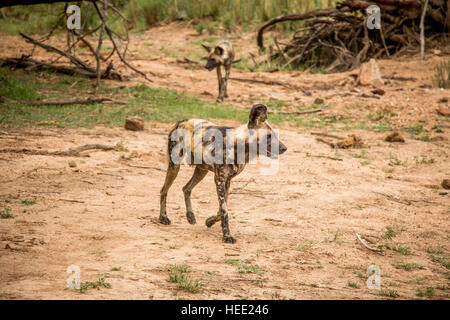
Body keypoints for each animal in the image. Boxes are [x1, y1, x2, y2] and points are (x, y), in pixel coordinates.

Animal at [160, 104, 288, 242]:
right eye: (268, 136)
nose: (284, 148)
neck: (239, 147)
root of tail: (180, 121)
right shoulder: (219, 180)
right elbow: (224, 210)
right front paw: (227, 236)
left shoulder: (227, 181)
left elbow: (221, 210)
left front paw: (209, 221)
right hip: (175, 166)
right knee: (164, 190)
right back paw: (163, 217)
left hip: (202, 170)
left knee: (186, 188)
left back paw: (190, 216)